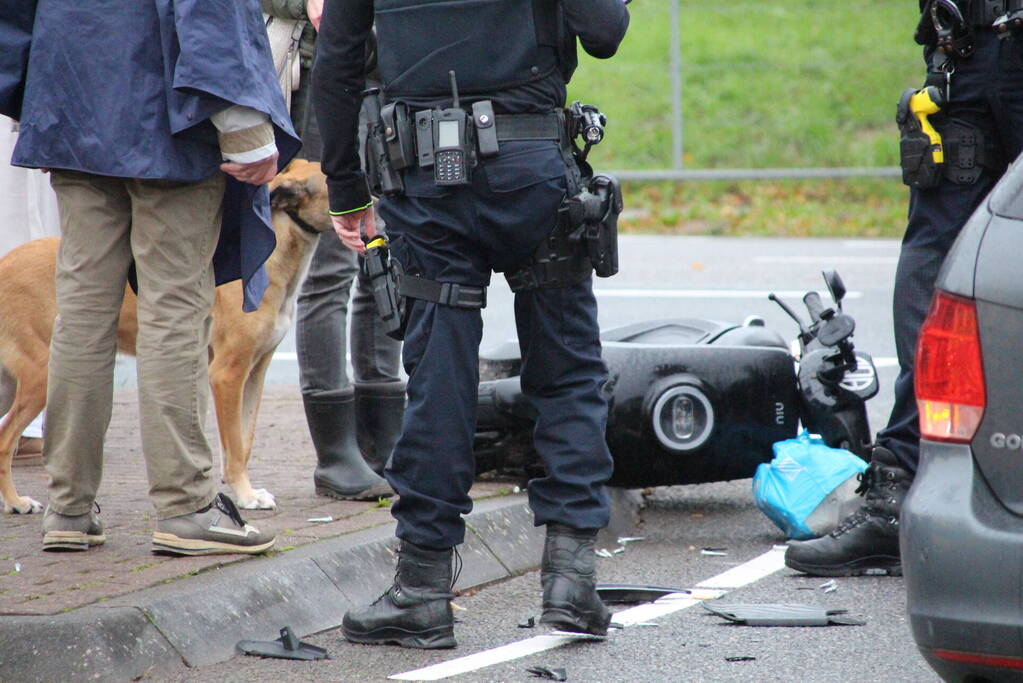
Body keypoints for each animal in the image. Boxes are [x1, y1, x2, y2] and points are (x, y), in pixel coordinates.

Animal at [0, 160, 331, 511]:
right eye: (331, 185)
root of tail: (4, 263)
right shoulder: (226, 374)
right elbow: (236, 448)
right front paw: (245, 494)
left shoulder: (254, 372)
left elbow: (244, 441)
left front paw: (243, 492)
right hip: (41, 375)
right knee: (5, 439)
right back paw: (16, 501)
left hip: (10, 381)